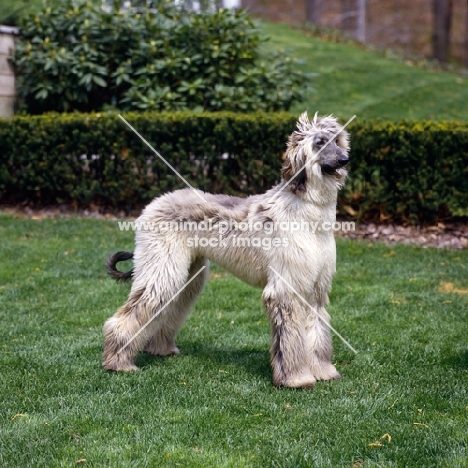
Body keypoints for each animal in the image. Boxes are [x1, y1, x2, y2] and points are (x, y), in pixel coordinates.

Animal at [103, 112, 352, 388]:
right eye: (319, 143)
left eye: (337, 140)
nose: (345, 159)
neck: (308, 213)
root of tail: (154, 203)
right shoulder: (286, 287)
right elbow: (290, 338)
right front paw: (295, 378)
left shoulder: (316, 289)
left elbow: (317, 333)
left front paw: (323, 371)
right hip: (162, 268)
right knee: (129, 315)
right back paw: (118, 362)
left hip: (187, 274)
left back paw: (161, 349)